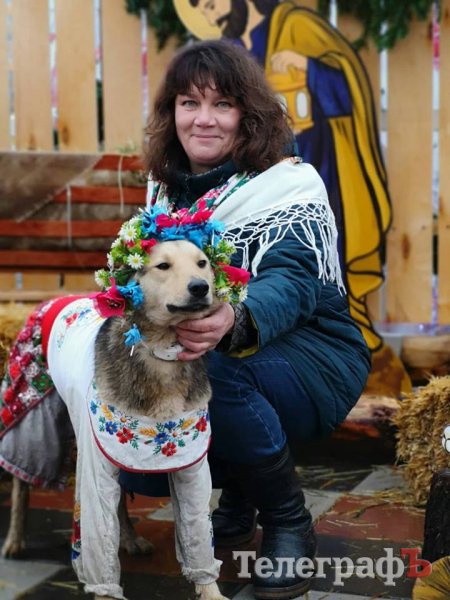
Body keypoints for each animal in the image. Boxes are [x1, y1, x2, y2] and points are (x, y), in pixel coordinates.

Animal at [1, 238, 230, 600]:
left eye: (202, 263)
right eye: (162, 266)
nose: (200, 287)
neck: (160, 353)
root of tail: (54, 299)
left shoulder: (192, 467)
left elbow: (198, 535)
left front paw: (210, 590)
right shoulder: (94, 467)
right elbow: (96, 539)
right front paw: (105, 590)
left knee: (120, 501)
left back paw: (131, 539)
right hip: (30, 424)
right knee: (21, 482)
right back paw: (14, 540)